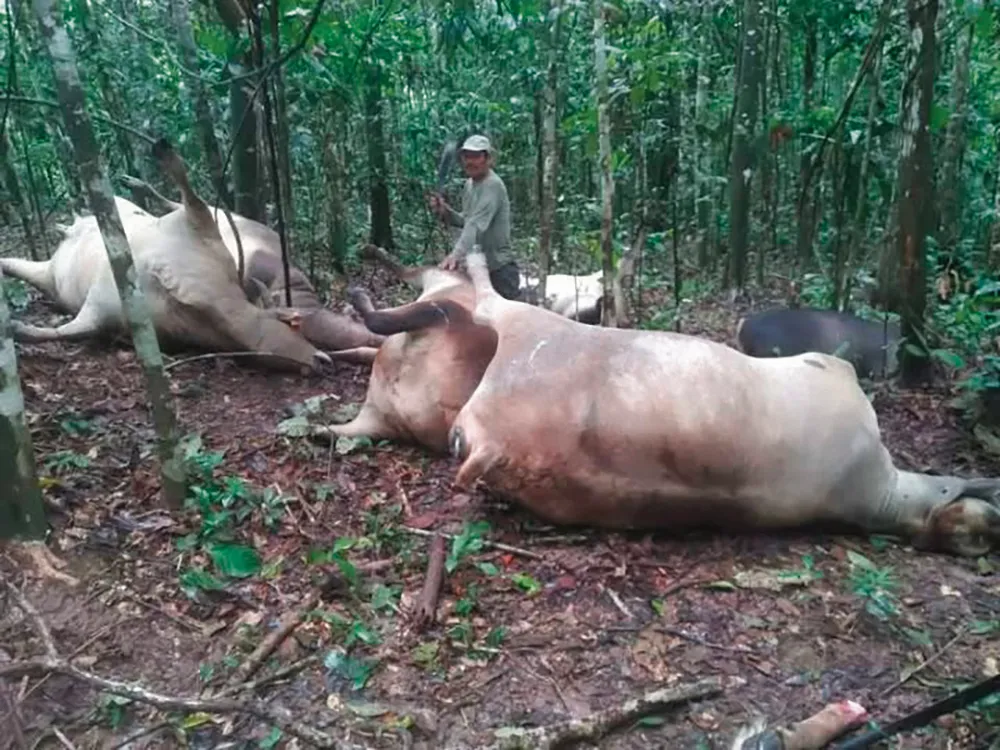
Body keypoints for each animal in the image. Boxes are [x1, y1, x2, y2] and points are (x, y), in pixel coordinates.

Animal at [314, 248, 498, 452]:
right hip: (378, 416)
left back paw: (360, 285)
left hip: (441, 311)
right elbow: (363, 351)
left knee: (378, 319)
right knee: (329, 431)